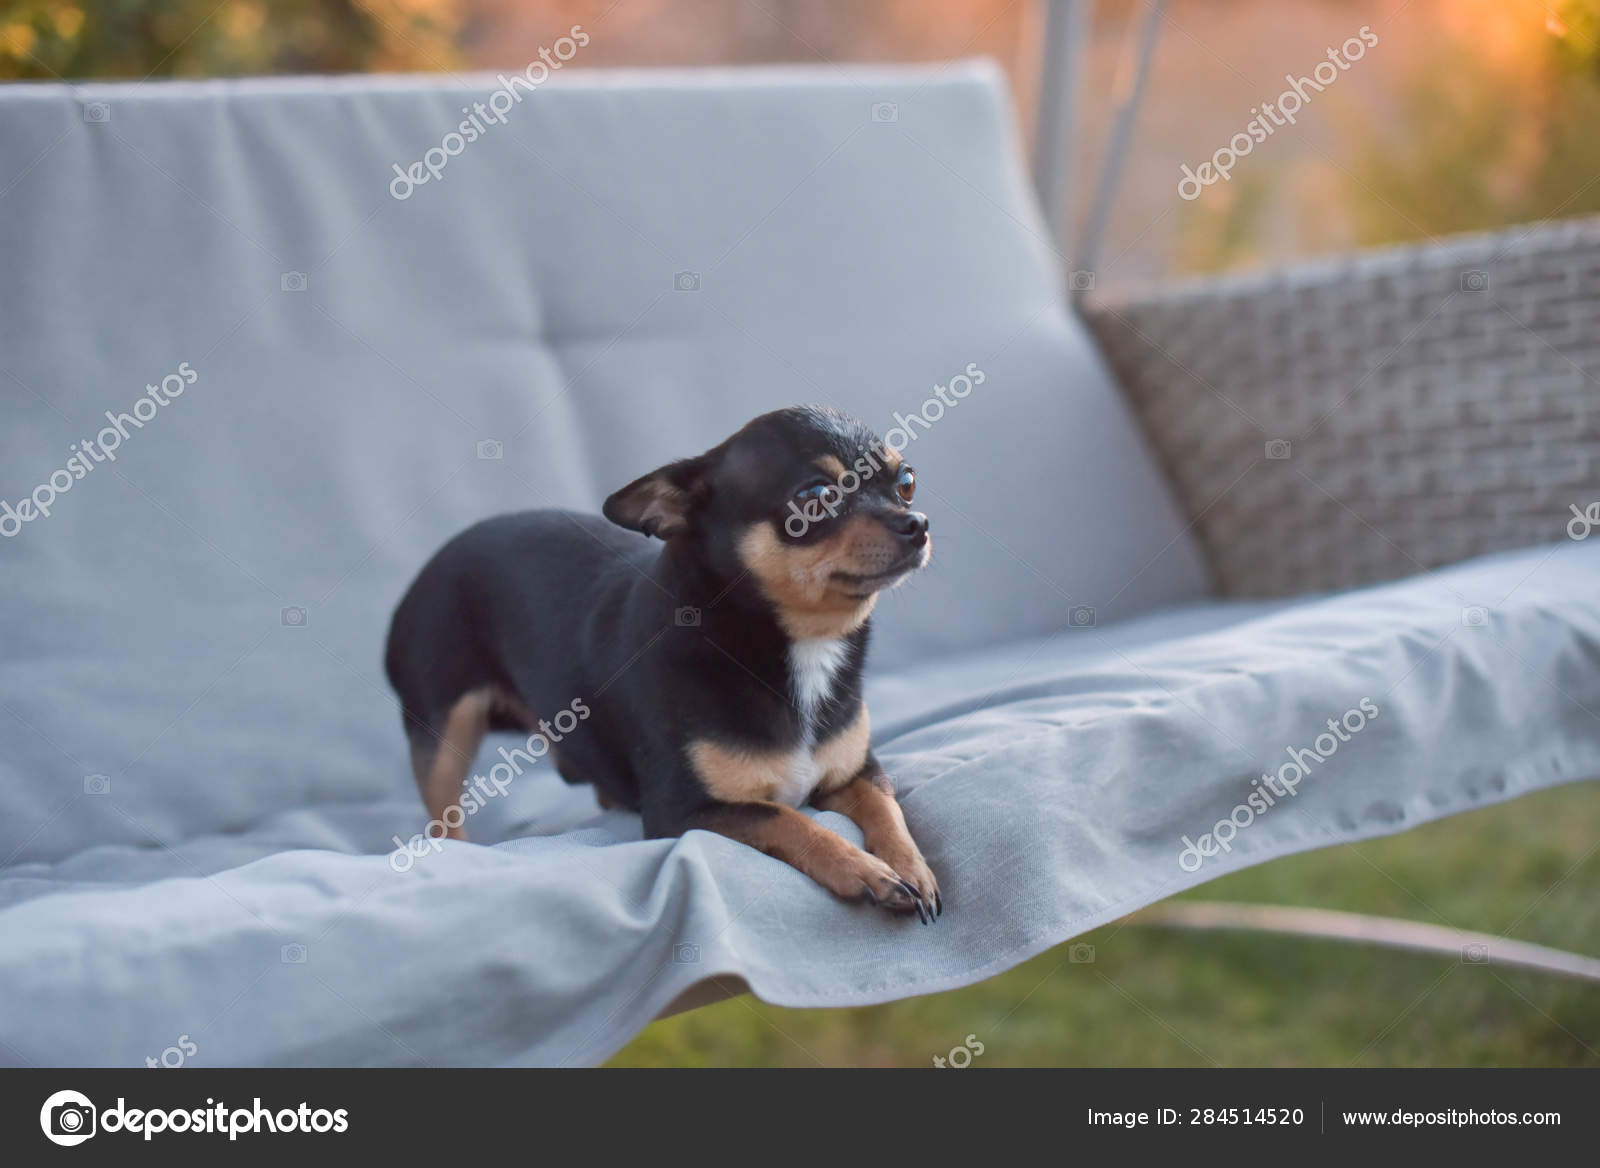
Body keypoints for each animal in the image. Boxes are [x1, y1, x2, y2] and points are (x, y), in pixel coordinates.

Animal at [384, 409, 934, 921]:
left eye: (906, 482)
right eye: (816, 495)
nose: (918, 524)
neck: (802, 645)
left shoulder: (858, 772)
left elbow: (886, 807)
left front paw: (910, 866)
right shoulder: (684, 811)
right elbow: (787, 819)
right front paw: (862, 869)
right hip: (444, 730)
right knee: (444, 814)